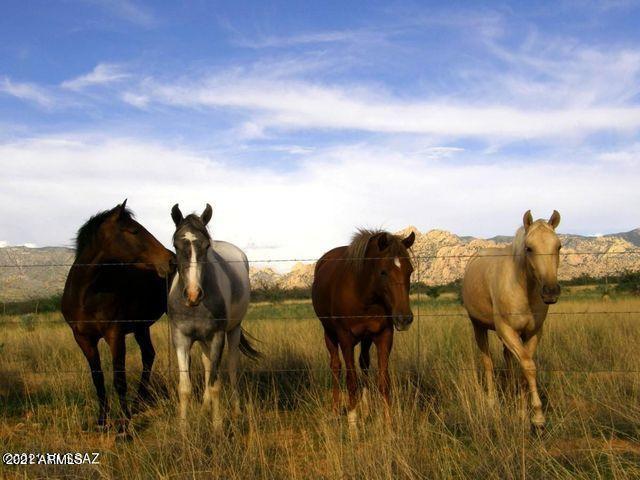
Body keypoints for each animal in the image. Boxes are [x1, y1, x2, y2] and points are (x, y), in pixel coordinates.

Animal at [61, 200, 174, 432]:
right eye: (134, 230)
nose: (169, 260)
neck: (87, 294)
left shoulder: (115, 334)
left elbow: (119, 380)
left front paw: (124, 427)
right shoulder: (83, 339)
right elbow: (98, 379)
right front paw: (102, 421)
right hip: (141, 327)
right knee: (148, 355)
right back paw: (138, 402)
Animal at [168, 203, 259, 429]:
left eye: (207, 245)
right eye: (175, 245)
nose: (193, 294)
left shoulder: (217, 336)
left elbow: (216, 384)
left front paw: (217, 427)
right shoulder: (181, 339)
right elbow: (185, 388)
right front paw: (183, 429)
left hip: (233, 331)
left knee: (232, 368)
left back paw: (235, 410)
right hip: (202, 340)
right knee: (208, 364)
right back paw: (203, 408)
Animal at [311, 229, 415, 430]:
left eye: (410, 270)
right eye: (383, 272)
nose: (404, 318)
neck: (363, 294)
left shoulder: (384, 335)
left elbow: (383, 381)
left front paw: (388, 423)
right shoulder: (345, 338)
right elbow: (351, 381)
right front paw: (353, 423)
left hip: (366, 338)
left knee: (364, 363)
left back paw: (366, 410)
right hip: (329, 333)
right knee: (335, 367)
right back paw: (336, 411)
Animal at [461, 210, 562, 431]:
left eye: (558, 246)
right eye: (529, 248)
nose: (550, 291)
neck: (523, 288)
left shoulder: (533, 333)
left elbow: (525, 367)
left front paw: (523, 412)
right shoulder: (506, 330)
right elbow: (527, 366)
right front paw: (537, 417)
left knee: (508, 359)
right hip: (478, 327)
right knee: (488, 362)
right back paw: (492, 402)